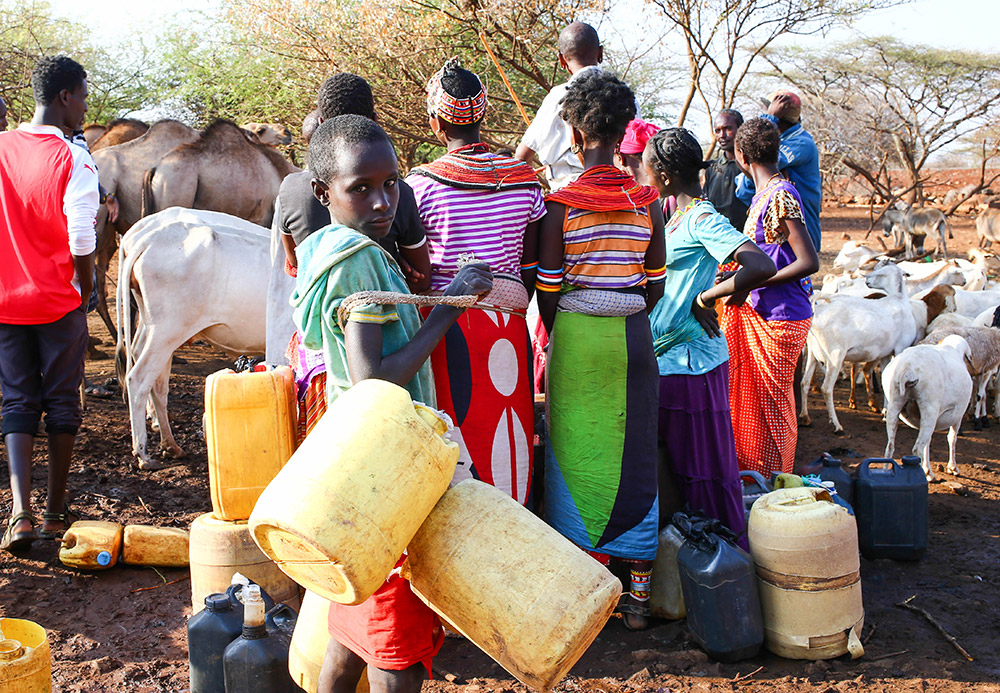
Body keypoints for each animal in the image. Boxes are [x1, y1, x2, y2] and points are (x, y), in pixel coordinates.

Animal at [116, 205, 270, 464]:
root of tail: (147, 238)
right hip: (167, 330)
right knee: (138, 378)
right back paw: (143, 452)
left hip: (159, 331)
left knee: (156, 381)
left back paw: (170, 444)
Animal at [884, 336, 968, 482]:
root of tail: (907, 368)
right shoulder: (958, 417)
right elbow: (952, 438)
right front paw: (953, 468)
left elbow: (928, 443)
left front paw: (929, 470)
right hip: (929, 408)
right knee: (916, 449)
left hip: (895, 404)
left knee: (890, 446)